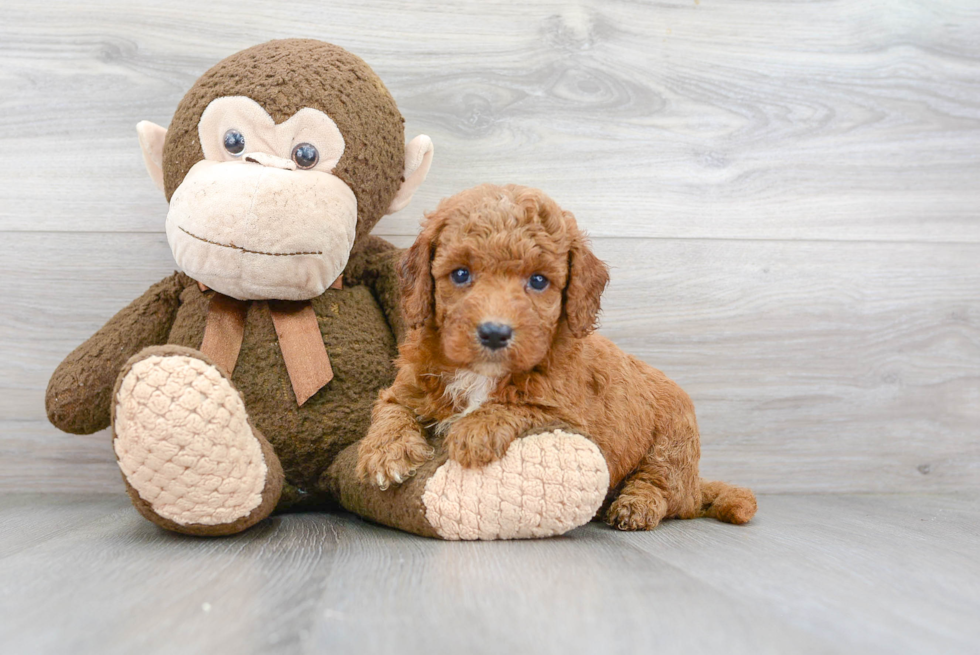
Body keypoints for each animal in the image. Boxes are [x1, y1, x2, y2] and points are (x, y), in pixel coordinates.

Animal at [360, 182, 756, 532]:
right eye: (460, 274)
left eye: (538, 281)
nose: (494, 333)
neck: (481, 374)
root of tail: (695, 484)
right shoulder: (410, 383)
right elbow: (392, 408)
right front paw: (386, 453)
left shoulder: (570, 413)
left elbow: (523, 404)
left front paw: (475, 429)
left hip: (672, 444)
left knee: (662, 488)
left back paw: (635, 506)